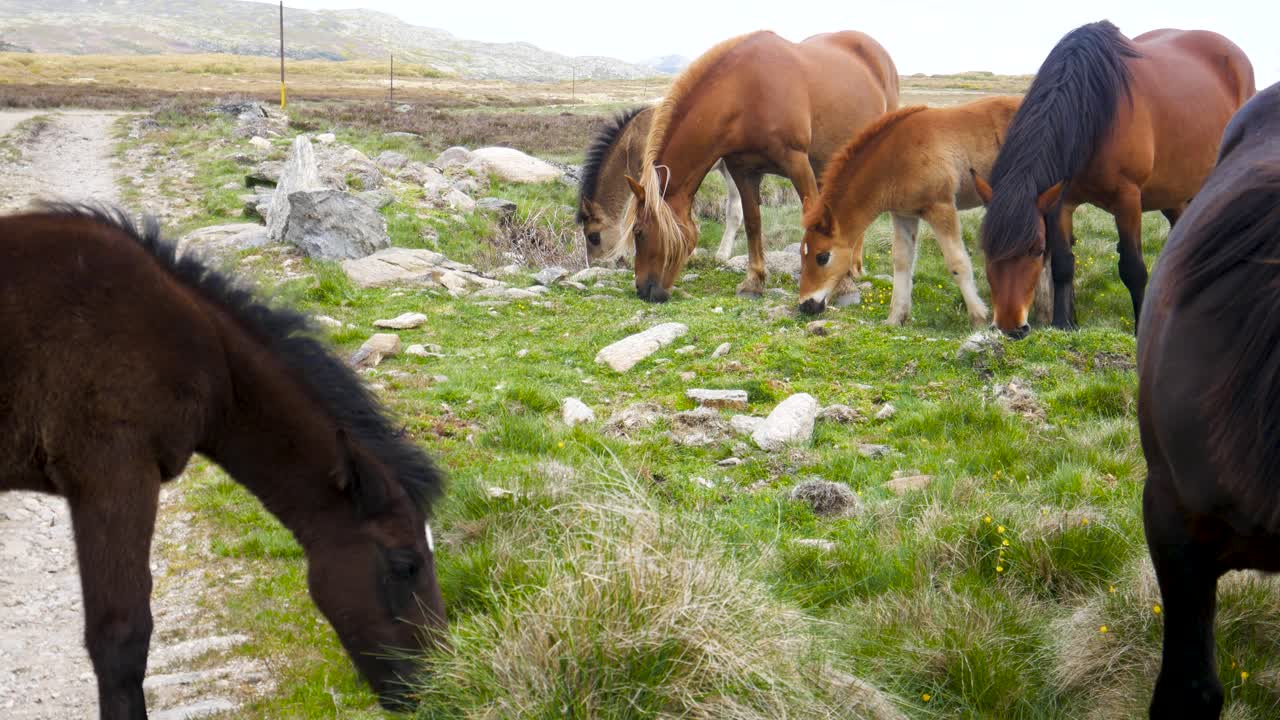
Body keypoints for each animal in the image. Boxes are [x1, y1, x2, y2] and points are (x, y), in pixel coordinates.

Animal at [621, 30, 899, 302]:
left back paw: (854, 268)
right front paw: (754, 281)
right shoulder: (743, 171)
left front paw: (842, 286)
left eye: (639, 232)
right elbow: (752, 222)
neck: (744, 92)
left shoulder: (797, 162)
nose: (643, 289)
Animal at [797, 96, 1021, 325]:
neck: (896, 157)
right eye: (801, 253)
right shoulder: (904, 214)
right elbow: (902, 261)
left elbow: (957, 262)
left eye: (822, 256)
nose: (806, 305)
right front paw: (895, 318)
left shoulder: (941, 207)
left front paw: (978, 317)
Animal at [972, 21, 1254, 339]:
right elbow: (1063, 265)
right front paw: (1063, 324)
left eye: (1037, 250)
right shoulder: (1062, 201)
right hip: (1174, 193)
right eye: (986, 250)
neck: (1094, 111)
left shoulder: (1127, 200)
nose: (1010, 328)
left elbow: (1133, 269)